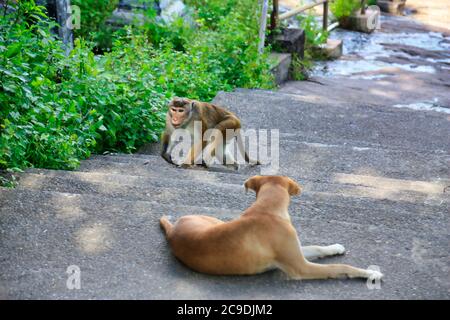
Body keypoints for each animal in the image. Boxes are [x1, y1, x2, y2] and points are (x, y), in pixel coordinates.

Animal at [159, 176, 384, 282]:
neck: (266, 209)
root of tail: (172, 231)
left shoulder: (296, 251)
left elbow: (318, 248)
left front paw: (335, 247)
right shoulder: (301, 267)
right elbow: (340, 267)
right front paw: (370, 273)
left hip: (215, 221)